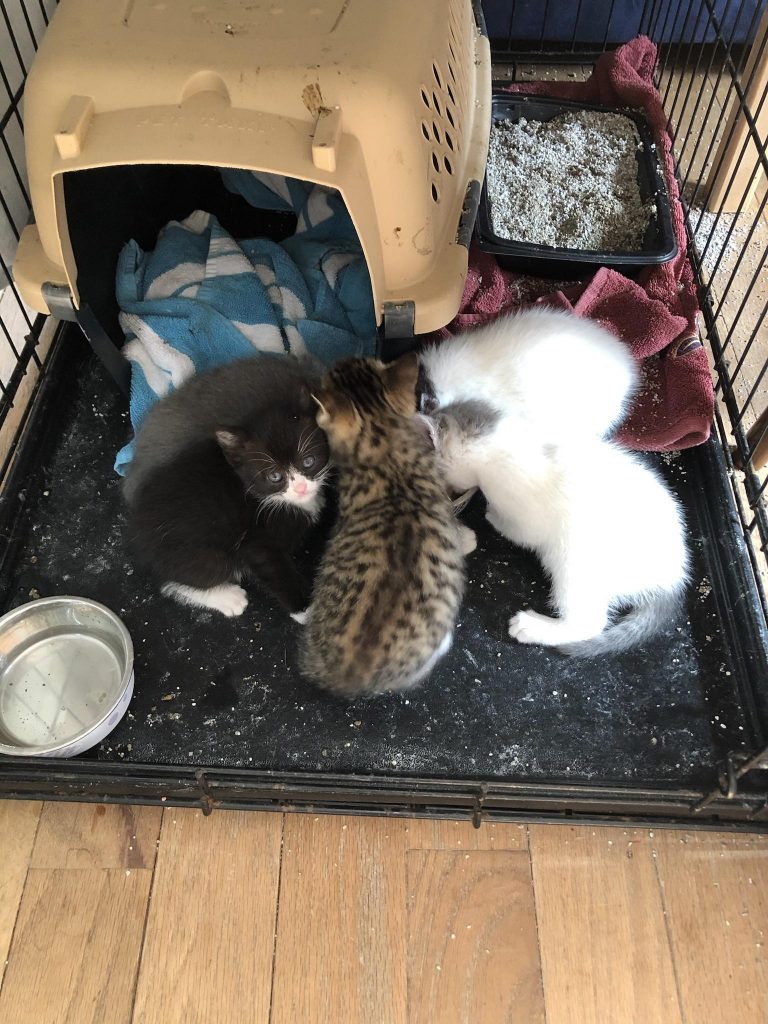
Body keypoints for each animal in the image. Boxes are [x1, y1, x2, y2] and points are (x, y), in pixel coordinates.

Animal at [123, 356, 331, 614]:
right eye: (274, 476)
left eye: (308, 461)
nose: (301, 488)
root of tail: (136, 535)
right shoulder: (258, 543)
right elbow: (278, 574)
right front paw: (308, 612)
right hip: (205, 554)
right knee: (175, 580)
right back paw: (228, 598)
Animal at [434, 399, 692, 655]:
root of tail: (674, 578)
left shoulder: (525, 517)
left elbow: (516, 530)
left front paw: (491, 515)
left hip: (574, 565)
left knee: (588, 623)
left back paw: (532, 627)